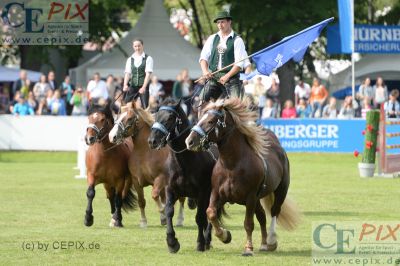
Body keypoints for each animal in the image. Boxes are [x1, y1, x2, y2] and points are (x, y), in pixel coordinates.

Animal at [148, 98, 220, 252]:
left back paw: (207, 239)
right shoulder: (170, 189)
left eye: (170, 118)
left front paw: (200, 243)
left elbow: (200, 218)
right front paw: (172, 242)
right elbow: (169, 211)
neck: (185, 162)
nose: (152, 141)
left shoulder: (202, 192)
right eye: (156, 116)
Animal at [185, 97, 300, 256]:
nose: (189, 141)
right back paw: (264, 244)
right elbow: (211, 213)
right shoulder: (217, 194)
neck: (232, 166)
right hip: (257, 199)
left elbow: (248, 224)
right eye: (199, 117)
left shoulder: (250, 197)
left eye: (211, 121)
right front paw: (225, 236)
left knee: (274, 212)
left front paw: (248, 248)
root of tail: (279, 150)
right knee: (262, 216)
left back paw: (271, 241)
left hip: (280, 190)